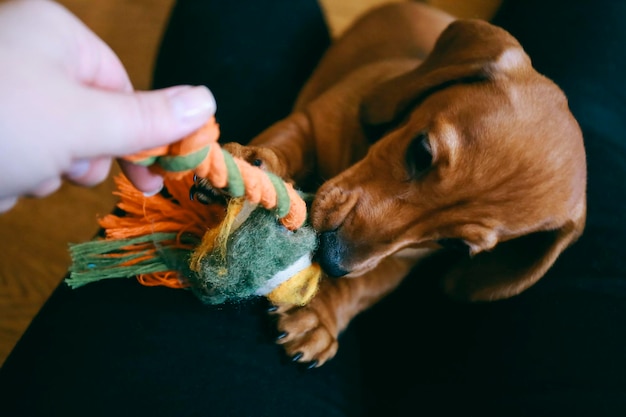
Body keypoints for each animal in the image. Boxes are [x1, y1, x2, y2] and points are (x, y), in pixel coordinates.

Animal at [216, 1, 584, 366]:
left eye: (456, 246)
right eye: (421, 153)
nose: (332, 261)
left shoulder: (398, 259)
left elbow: (363, 285)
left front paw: (319, 314)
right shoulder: (311, 123)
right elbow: (286, 145)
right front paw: (253, 165)